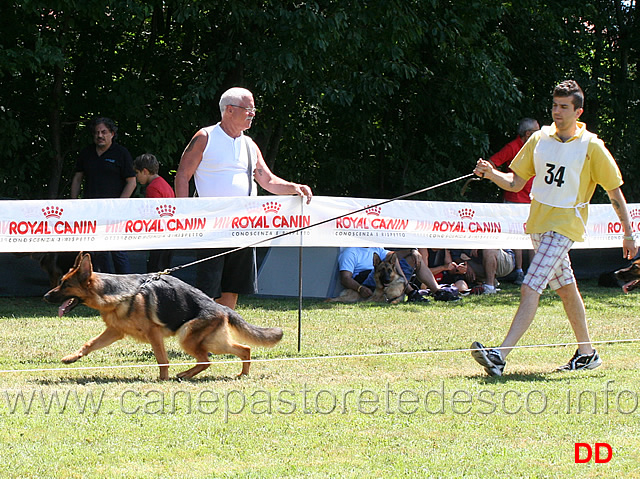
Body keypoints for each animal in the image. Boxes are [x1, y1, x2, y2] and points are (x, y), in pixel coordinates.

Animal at [43, 253, 284, 380]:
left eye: (65, 285)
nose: (45, 297)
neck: (113, 292)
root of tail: (222, 308)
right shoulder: (114, 332)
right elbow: (89, 344)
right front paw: (72, 357)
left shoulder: (154, 334)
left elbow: (162, 359)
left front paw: (162, 379)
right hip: (213, 341)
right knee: (244, 349)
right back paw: (240, 374)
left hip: (188, 336)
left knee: (208, 359)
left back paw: (185, 375)